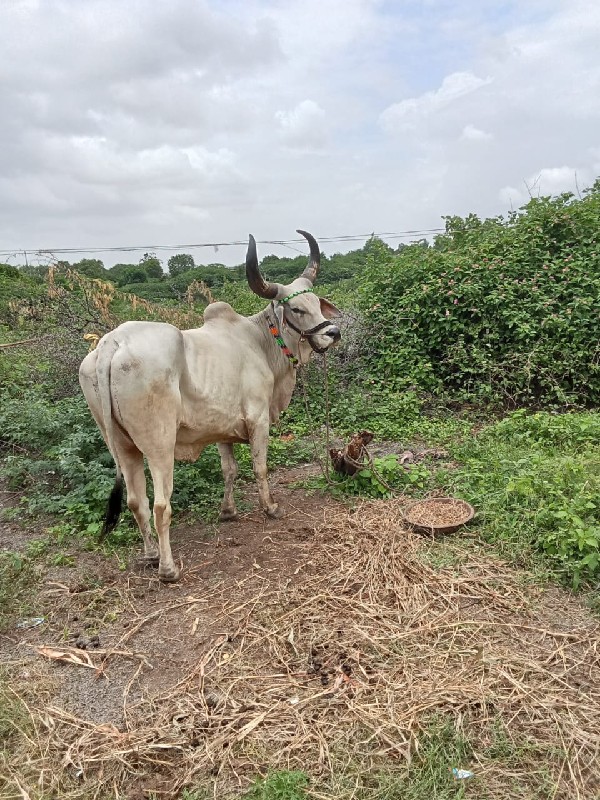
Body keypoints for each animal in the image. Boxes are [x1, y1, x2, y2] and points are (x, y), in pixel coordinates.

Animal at [79, 231, 341, 581]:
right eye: (297, 309)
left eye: (316, 303)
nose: (333, 333)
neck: (261, 342)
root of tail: (112, 343)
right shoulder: (258, 420)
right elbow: (259, 467)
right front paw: (270, 507)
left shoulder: (221, 429)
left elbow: (229, 470)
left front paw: (227, 511)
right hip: (160, 446)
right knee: (161, 505)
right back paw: (168, 568)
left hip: (122, 446)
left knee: (136, 501)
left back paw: (150, 554)